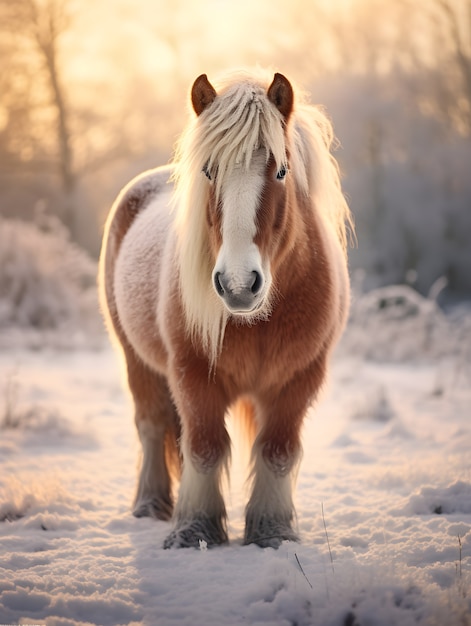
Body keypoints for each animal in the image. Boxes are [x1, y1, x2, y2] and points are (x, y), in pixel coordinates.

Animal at [99, 68, 352, 544]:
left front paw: (272, 531)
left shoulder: (298, 380)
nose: (238, 284)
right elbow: (204, 447)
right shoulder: (194, 374)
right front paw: (193, 530)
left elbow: (277, 451)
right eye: (208, 170)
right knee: (152, 425)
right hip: (136, 359)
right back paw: (150, 506)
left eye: (281, 171)